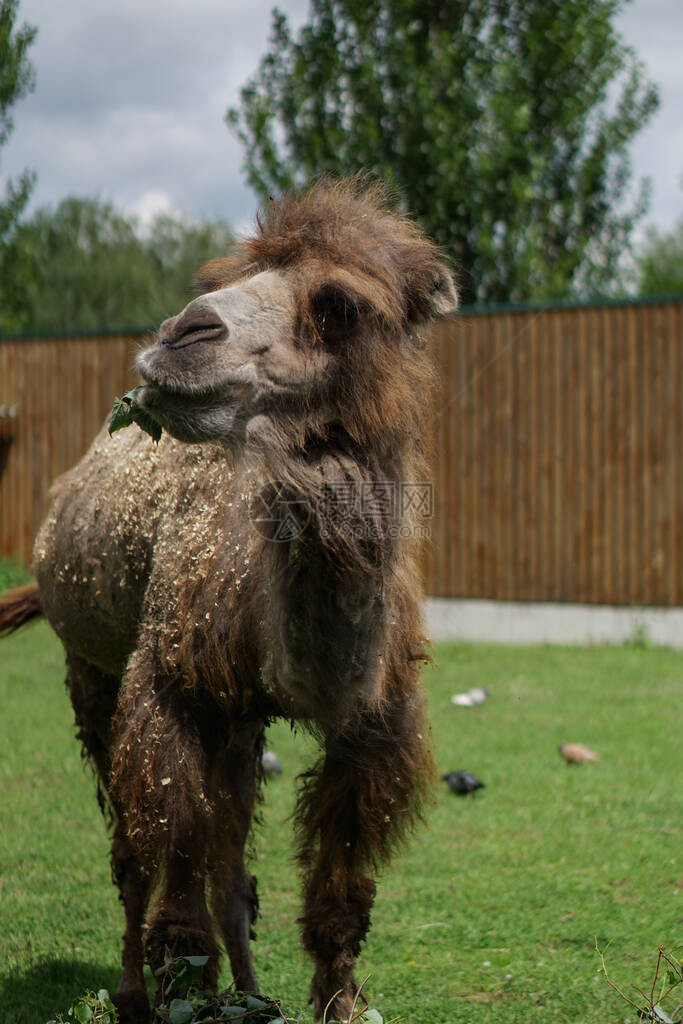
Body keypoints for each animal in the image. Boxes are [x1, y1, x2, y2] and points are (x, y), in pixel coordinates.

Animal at [1, 180, 458, 1019]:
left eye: (339, 305)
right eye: (226, 276)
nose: (182, 334)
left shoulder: (373, 721)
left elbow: (337, 893)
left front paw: (339, 1003)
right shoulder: (170, 684)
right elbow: (175, 872)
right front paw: (178, 991)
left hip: (239, 720)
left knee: (233, 866)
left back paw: (251, 992)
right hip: (92, 667)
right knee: (134, 853)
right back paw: (132, 991)